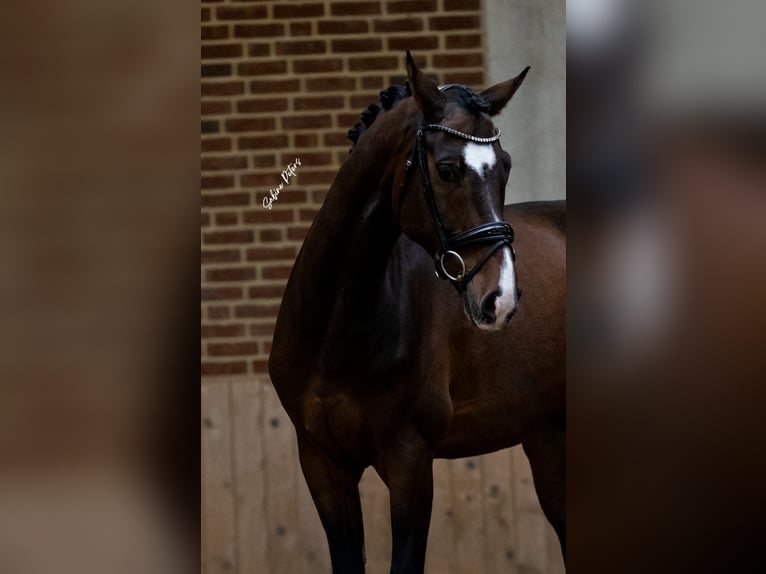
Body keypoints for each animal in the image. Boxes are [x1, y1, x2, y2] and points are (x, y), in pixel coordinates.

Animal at [269, 52, 565, 573]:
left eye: (506, 167)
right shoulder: (322, 464)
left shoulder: (410, 462)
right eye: (446, 169)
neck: (334, 330)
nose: (501, 299)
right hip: (547, 439)